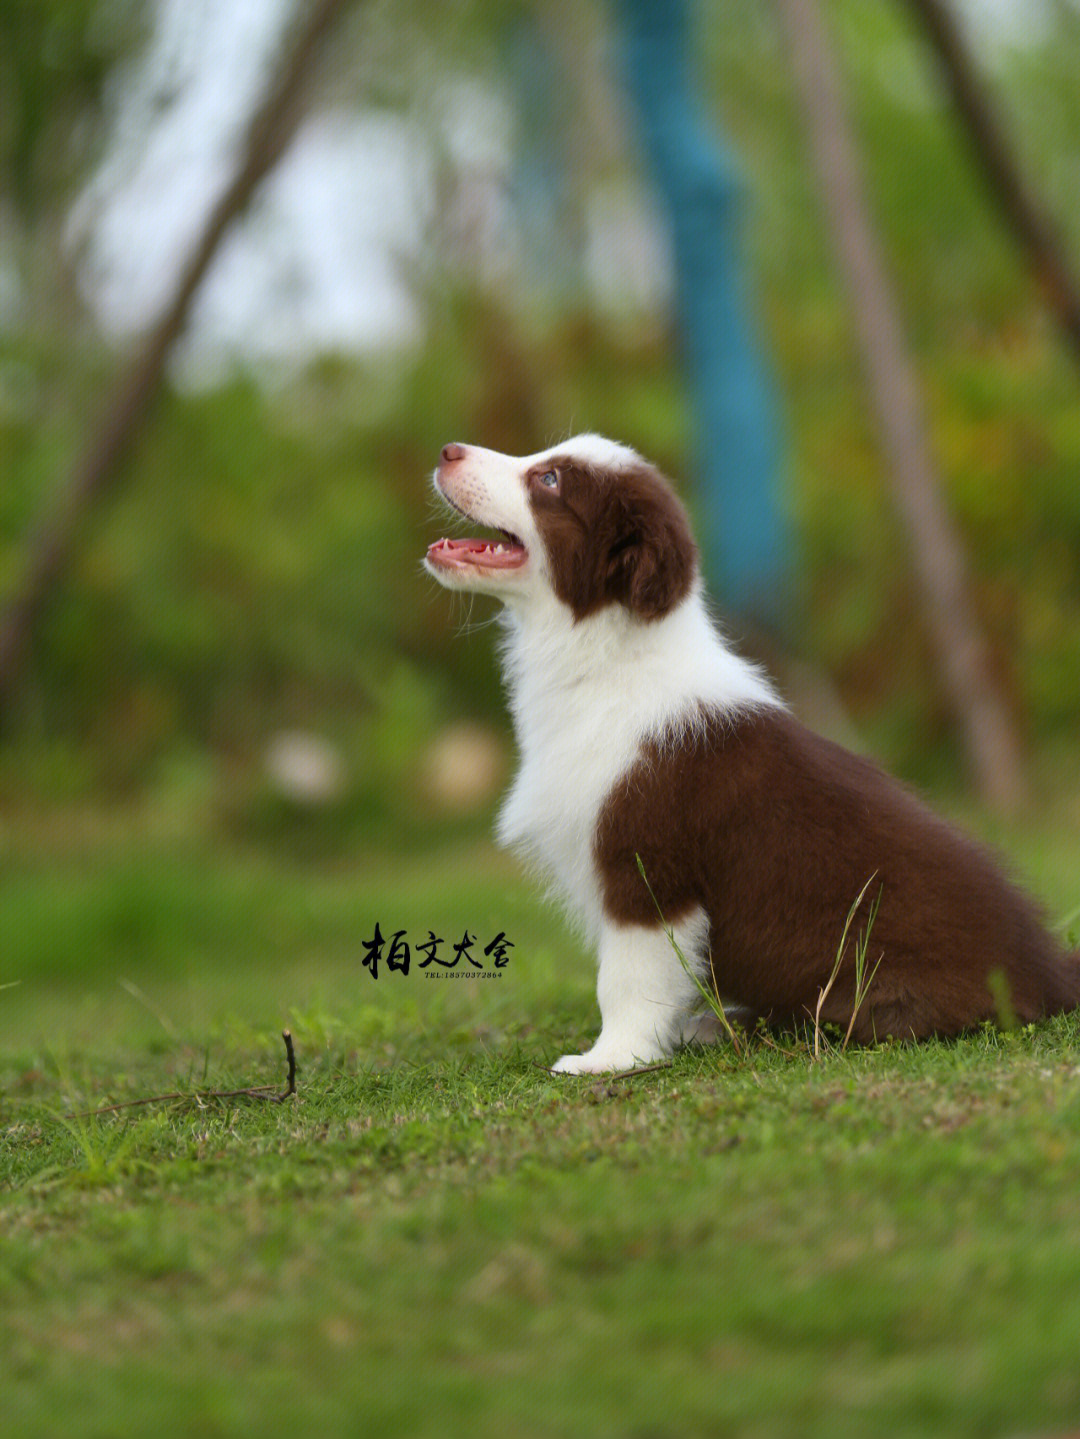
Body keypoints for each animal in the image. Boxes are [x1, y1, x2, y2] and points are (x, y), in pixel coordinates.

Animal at [425, 431, 1080, 1076]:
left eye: (551, 480)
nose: (447, 450)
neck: (607, 654)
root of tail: (1051, 972)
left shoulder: (647, 870)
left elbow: (627, 977)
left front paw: (611, 1059)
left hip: (874, 991)